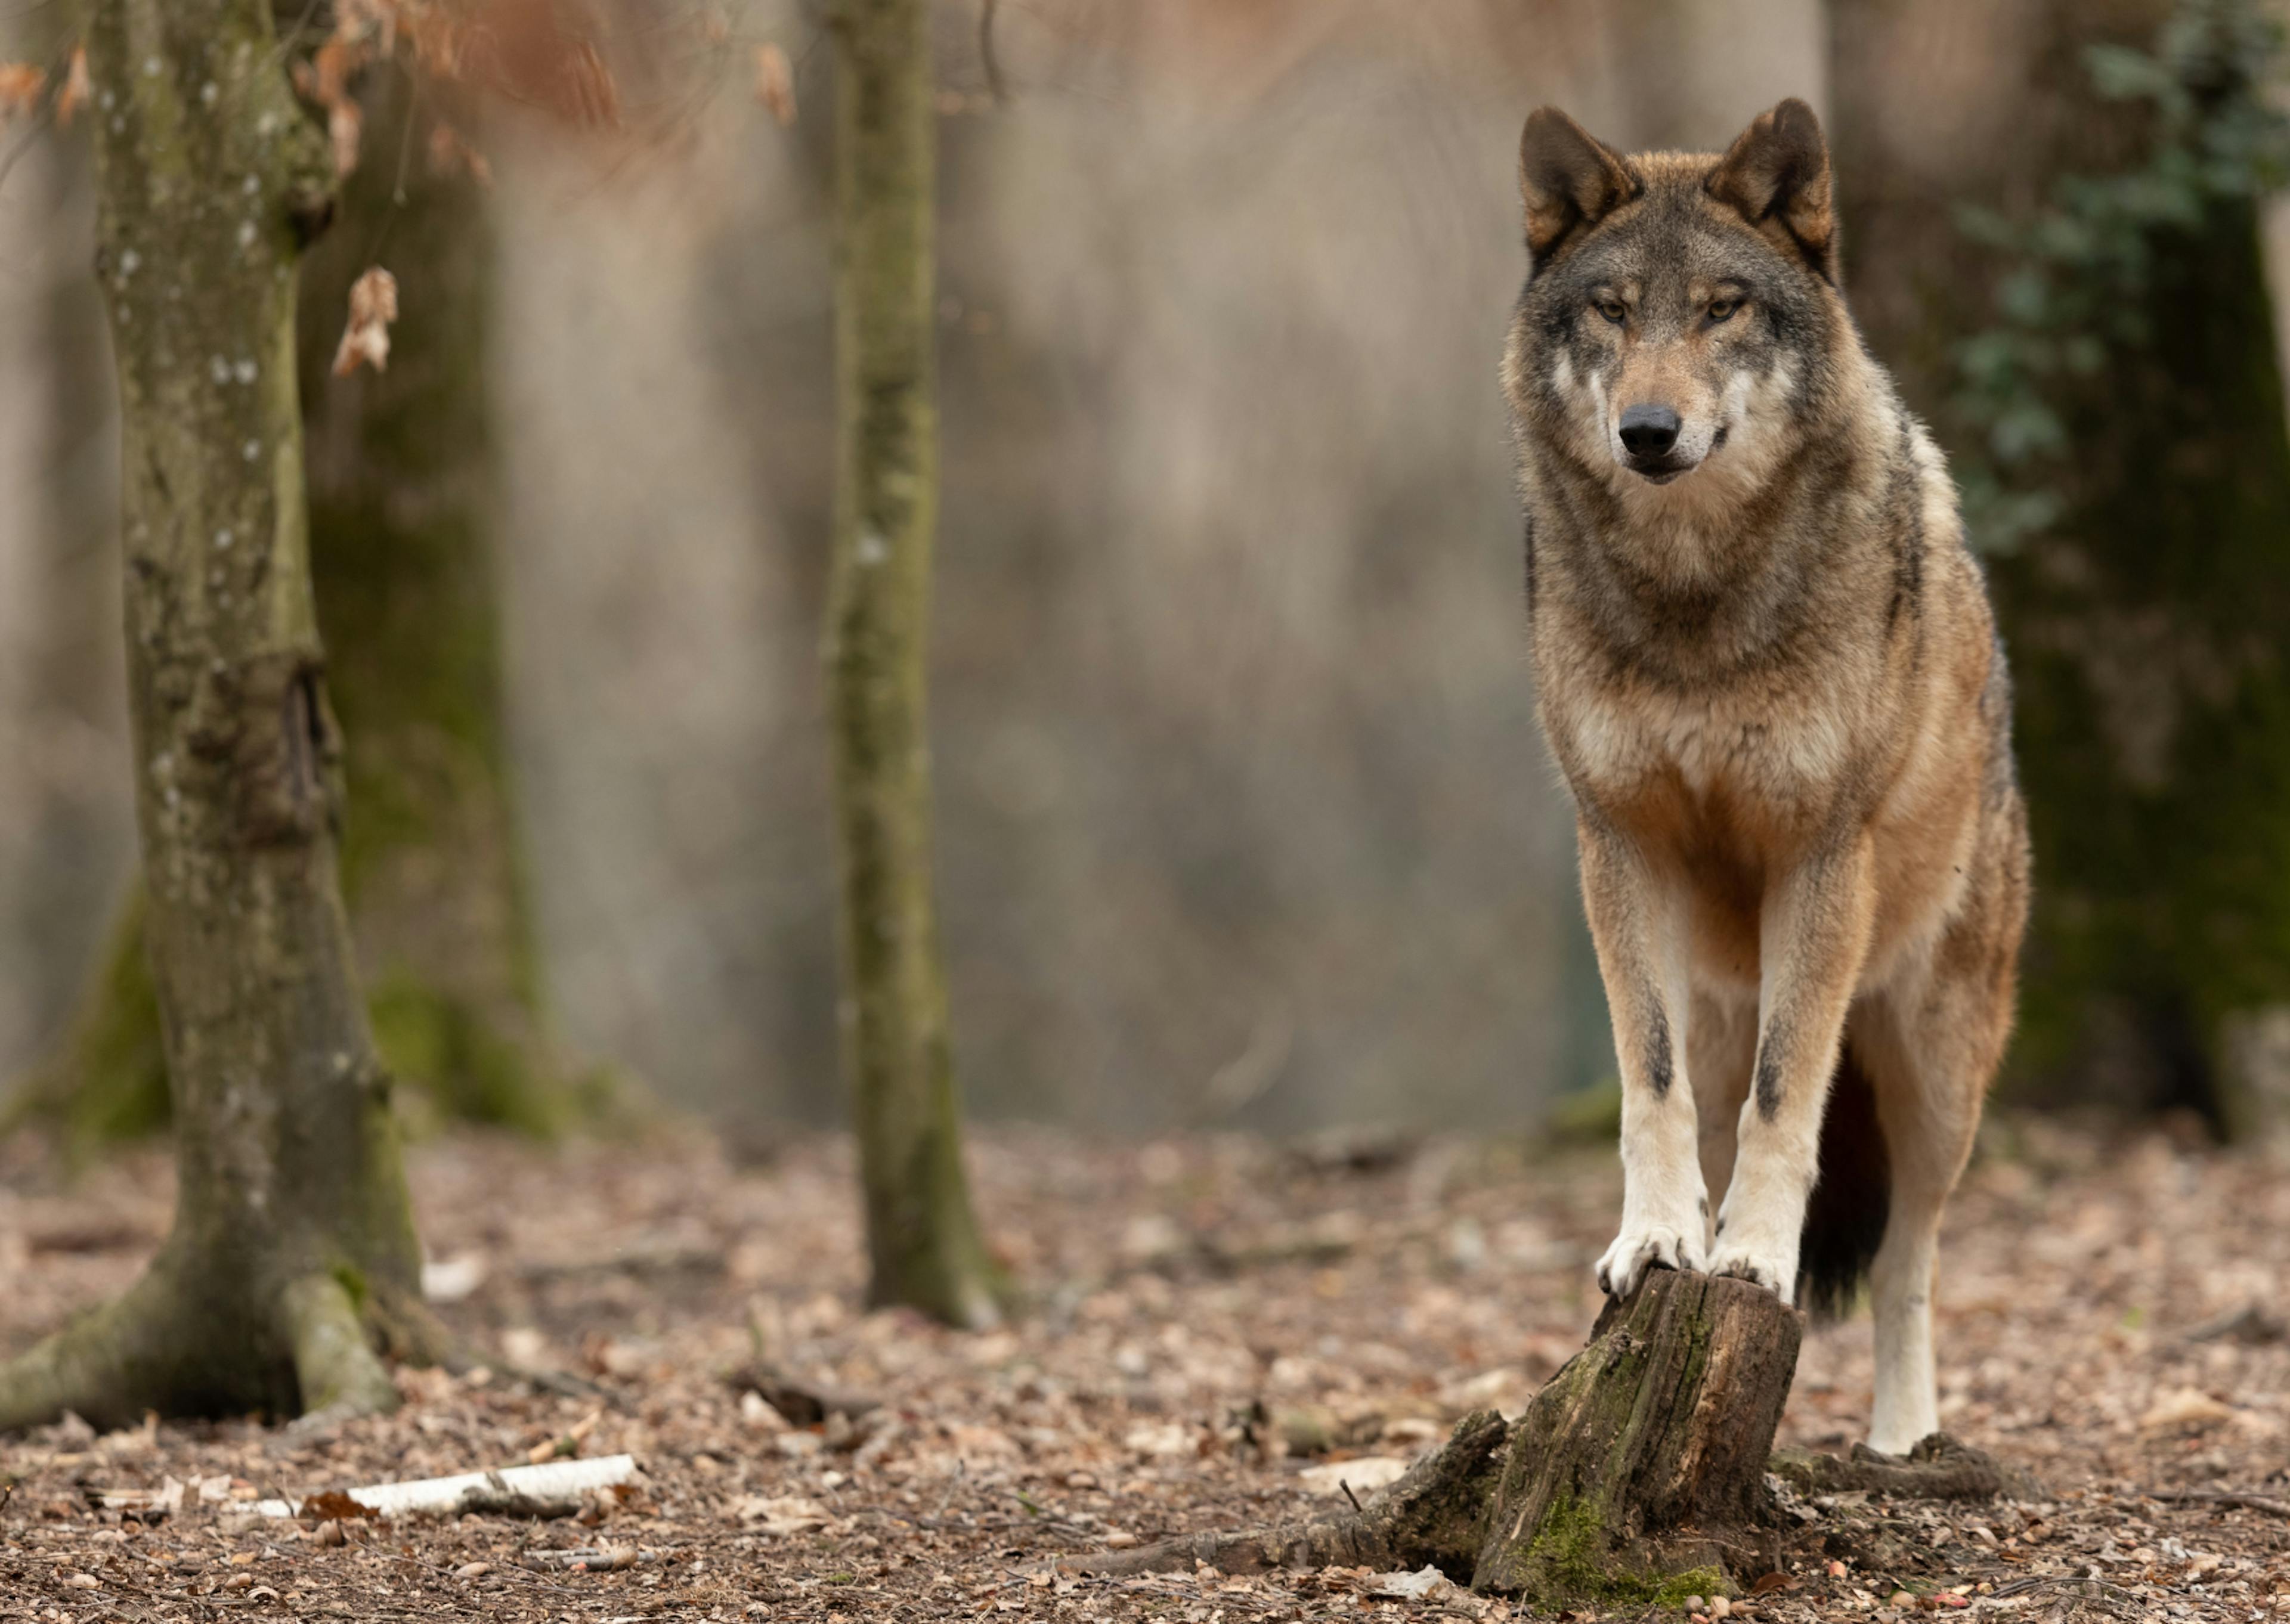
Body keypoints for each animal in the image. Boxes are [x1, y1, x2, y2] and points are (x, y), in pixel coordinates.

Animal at [1511, 95, 2033, 1448]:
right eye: (1613, 310)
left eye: (1720, 309)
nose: (1649, 432)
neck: (1697, 600)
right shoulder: (1619, 843)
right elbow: (1649, 1092)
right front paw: (1658, 1243)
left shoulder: (1820, 852)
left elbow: (1784, 1101)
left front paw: (1752, 1259)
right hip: (1721, 1000)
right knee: (1708, 1100)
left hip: (1934, 1073)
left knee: (1910, 1261)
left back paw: (1903, 1441)